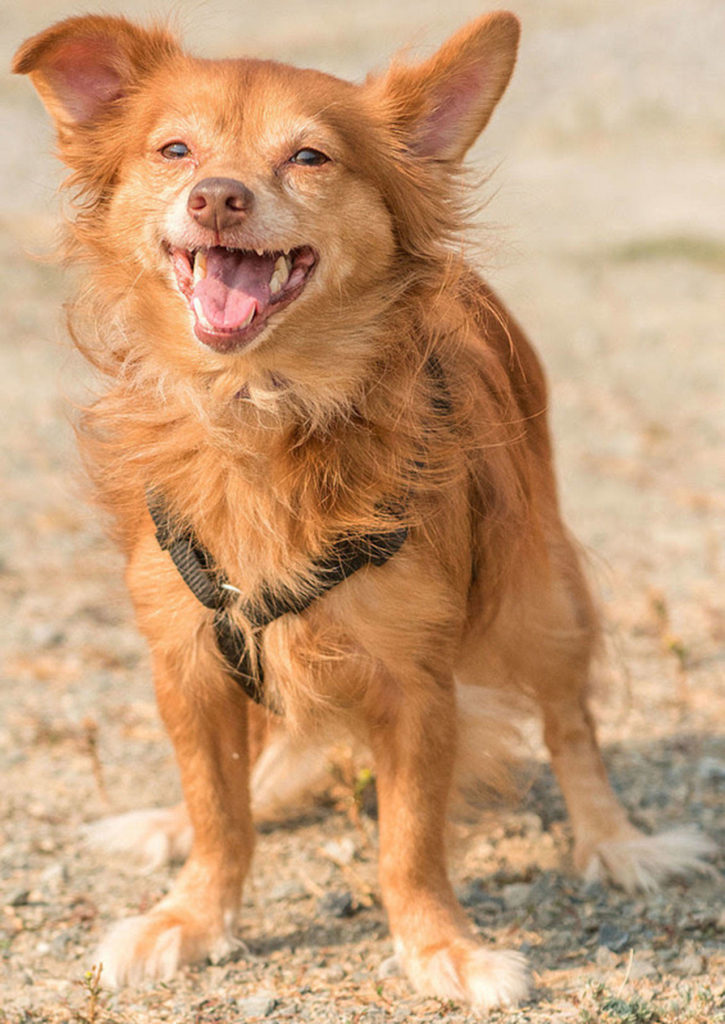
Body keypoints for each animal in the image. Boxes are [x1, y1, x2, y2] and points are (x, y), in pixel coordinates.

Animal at [12, 12, 712, 1011]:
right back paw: (176, 822)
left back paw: (615, 841)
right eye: (174, 150)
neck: (260, 407)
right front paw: (192, 914)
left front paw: (440, 947)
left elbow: (408, 842)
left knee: (570, 722)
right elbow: (220, 811)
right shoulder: (186, 663)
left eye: (309, 157)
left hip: (540, 596)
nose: (216, 197)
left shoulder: (414, 680)